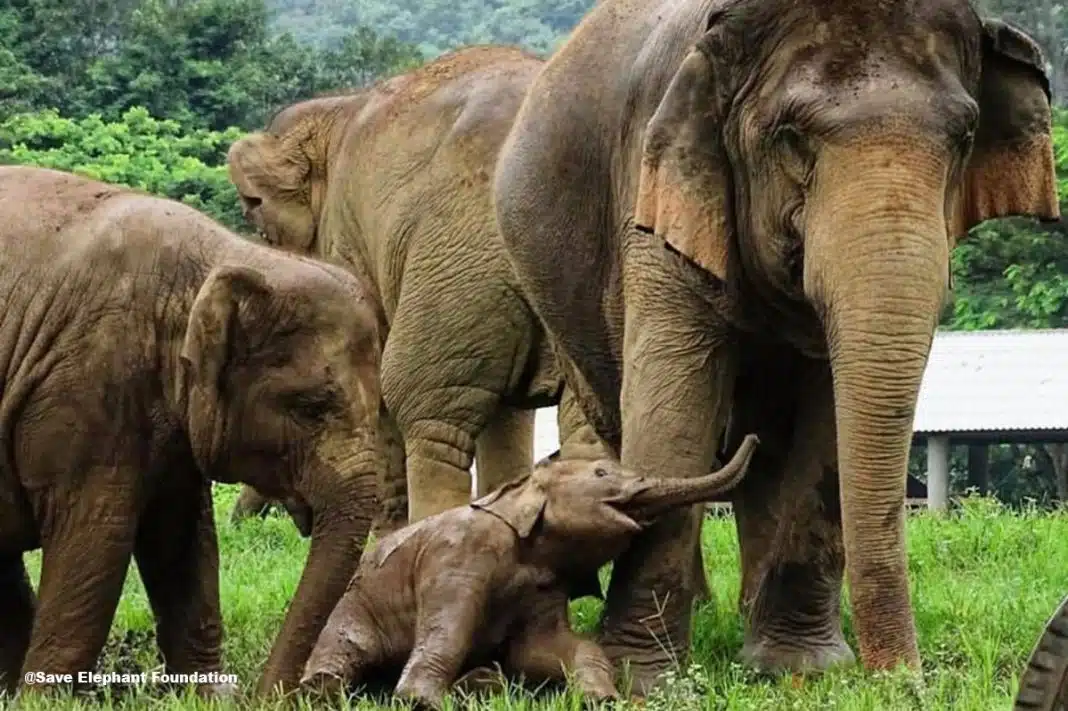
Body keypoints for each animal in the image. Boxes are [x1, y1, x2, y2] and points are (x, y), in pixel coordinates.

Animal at [0, 166, 383, 697]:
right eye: (311, 408)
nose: (273, 696)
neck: (224, 257)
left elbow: (183, 537)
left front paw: (207, 694)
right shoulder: (87, 384)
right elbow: (95, 534)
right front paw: (45, 700)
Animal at [225, 46, 608, 536]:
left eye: (261, 229)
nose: (242, 522)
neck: (336, 109)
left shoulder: (347, 243)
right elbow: (508, 413)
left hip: (456, 268)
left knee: (423, 405)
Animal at [299, 434, 760, 710]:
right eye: (601, 474)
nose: (752, 437)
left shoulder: (544, 585)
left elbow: (542, 648)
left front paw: (601, 699)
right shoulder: (460, 557)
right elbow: (450, 631)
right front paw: (422, 702)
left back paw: (484, 684)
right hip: (355, 602)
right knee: (345, 648)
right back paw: (321, 691)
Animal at [492, 0, 1060, 690]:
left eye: (966, 137)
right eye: (791, 137)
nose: (906, 681)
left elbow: (826, 424)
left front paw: (802, 671)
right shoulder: (656, 200)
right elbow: (674, 417)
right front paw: (644, 682)